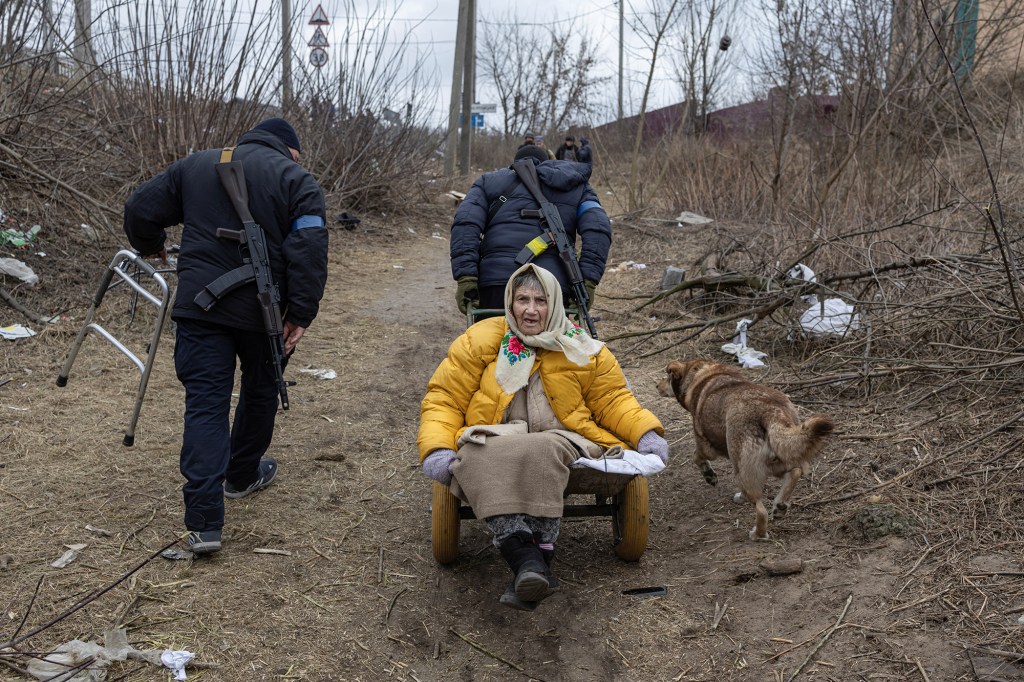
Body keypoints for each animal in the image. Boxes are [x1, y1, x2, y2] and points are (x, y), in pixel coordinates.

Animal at [659, 358, 835, 540]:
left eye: (667, 376)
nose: (657, 386)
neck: (700, 375)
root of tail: (771, 411)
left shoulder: (705, 445)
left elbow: (697, 457)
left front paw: (710, 476)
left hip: (744, 473)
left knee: (761, 510)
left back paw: (758, 534)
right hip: (784, 452)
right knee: (795, 472)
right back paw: (780, 506)